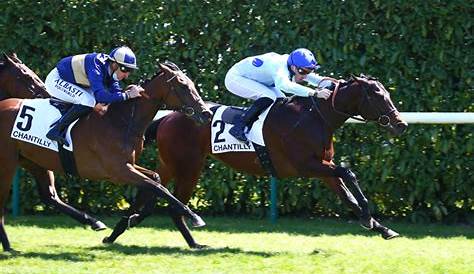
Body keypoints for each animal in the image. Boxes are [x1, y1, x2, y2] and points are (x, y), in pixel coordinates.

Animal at [103, 74, 408, 247]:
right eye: (378, 95)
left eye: (387, 93)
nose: (401, 124)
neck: (314, 117)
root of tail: (167, 117)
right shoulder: (306, 166)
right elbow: (348, 173)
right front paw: (370, 216)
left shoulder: (323, 169)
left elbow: (347, 194)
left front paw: (379, 226)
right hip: (188, 166)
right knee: (170, 202)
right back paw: (189, 240)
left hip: (172, 165)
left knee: (151, 190)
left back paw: (120, 229)